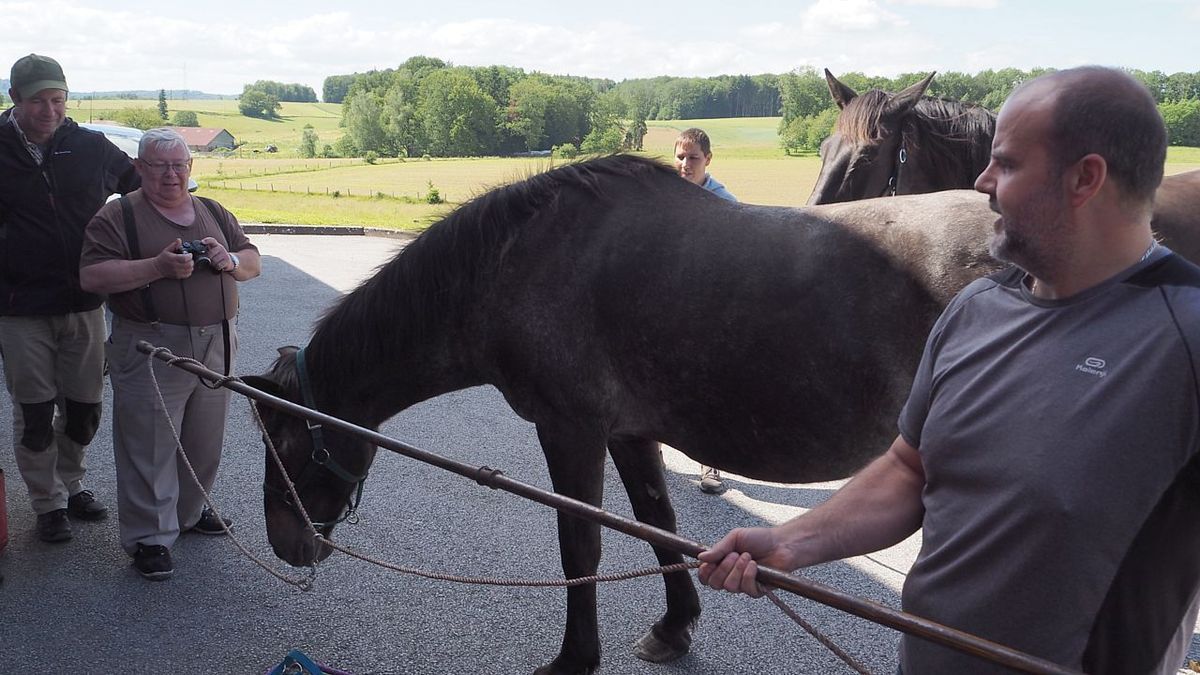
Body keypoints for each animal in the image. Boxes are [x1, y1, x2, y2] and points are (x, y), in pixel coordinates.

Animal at [244, 154, 1002, 675]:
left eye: (289, 448)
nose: (287, 545)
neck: (511, 265)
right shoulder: (630, 431)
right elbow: (657, 524)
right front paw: (675, 625)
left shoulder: (570, 428)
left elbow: (581, 544)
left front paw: (576, 657)